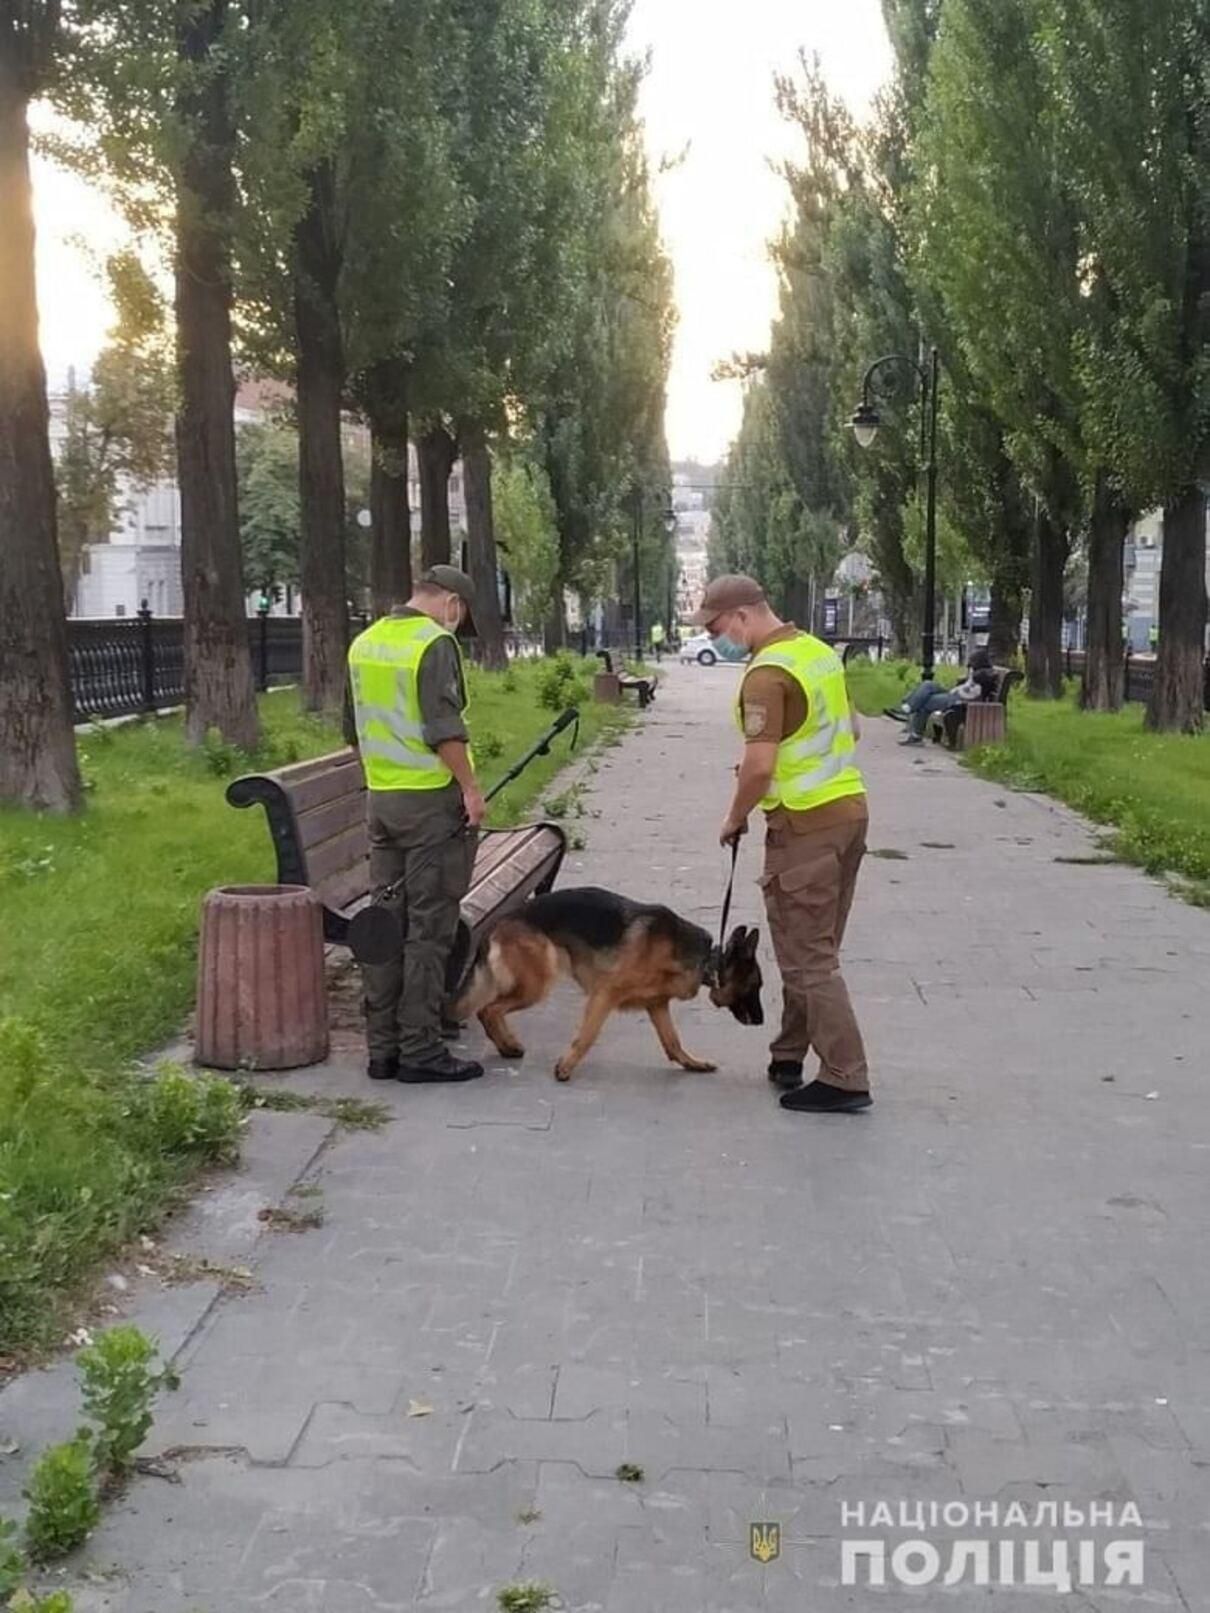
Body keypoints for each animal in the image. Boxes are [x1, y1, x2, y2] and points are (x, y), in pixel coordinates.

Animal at [454, 890, 767, 1077]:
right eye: (755, 986)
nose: (762, 1022)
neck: (705, 960)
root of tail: (500, 921)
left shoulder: (657, 1005)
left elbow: (673, 1042)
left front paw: (693, 1063)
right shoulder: (605, 994)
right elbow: (587, 1036)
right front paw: (565, 1067)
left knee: (488, 1010)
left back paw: (507, 1046)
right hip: (536, 985)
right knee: (488, 1009)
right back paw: (508, 1045)